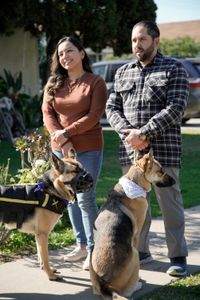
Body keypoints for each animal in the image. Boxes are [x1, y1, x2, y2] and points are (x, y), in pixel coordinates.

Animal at [0, 150, 93, 282]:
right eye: (74, 171)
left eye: (83, 169)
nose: (90, 177)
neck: (51, 190)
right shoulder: (43, 234)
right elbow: (45, 257)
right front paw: (50, 275)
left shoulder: (38, 235)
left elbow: (41, 257)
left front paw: (47, 270)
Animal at [90, 149, 175, 298]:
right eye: (160, 171)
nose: (174, 181)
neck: (134, 182)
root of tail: (106, 284)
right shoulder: (136, 235)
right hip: (134, 253)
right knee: (127, 291)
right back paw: (137, 284)